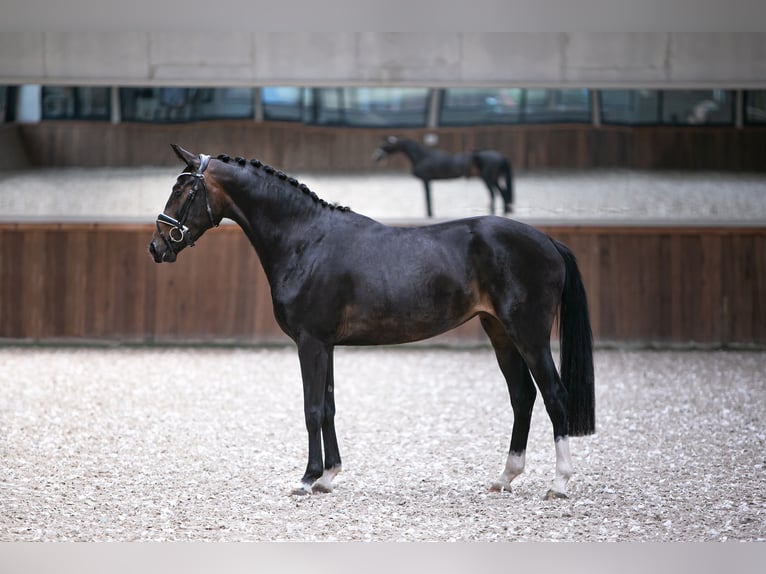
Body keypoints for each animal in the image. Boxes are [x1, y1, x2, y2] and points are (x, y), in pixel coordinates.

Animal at [148, 146, 592, 502]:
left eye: (182, 190)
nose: (157, 247)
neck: (305, 240)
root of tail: (548, 241)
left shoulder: (310, 342)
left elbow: (312, 408)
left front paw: (307, 479)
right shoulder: (325, 344)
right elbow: (328, 406)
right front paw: (328, 477)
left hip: (529, 334)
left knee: (554, 395)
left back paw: (560, 483)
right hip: (499, 331)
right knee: (522, 395)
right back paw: (505, 477)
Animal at [374, 137, 516, 218]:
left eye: (385, 145)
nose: (376, 157)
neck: (422, 156)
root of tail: (500, 156)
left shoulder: (426, 180)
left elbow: (428, 199)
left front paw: (430, 215)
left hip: (488, 179)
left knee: (494, 194)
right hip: (494, 179)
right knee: (503, 193)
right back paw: (504, 212)